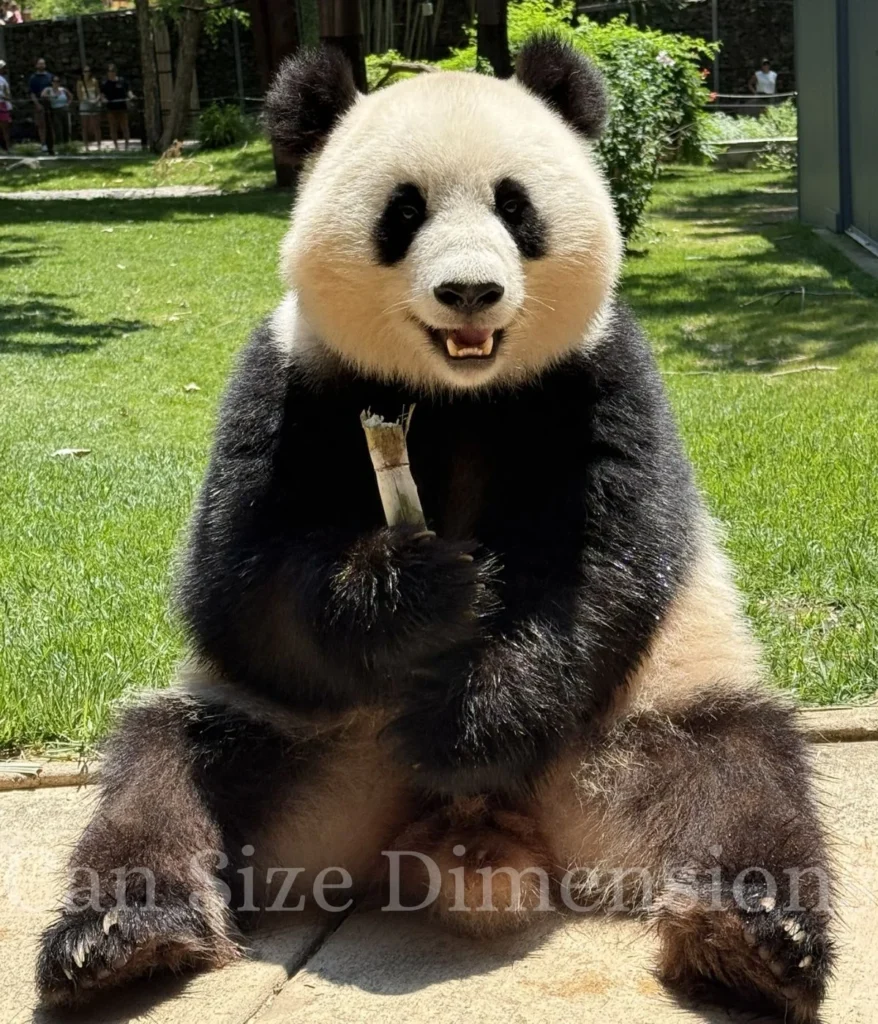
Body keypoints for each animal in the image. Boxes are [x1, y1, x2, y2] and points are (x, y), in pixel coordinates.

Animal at [37, 36, 833, 1022]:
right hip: (304, 746)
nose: (470, 292)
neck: (458, 395)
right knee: (168, 771)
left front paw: (472, 723)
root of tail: (465, 839)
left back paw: (751, 940)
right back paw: (119, 937)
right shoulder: (288, 378)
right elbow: (239, 584)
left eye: (515, 207)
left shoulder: (603, 377)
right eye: (403, 212)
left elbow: (599, 568)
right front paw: (417, 589)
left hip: (642, 720)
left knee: (741, 773)